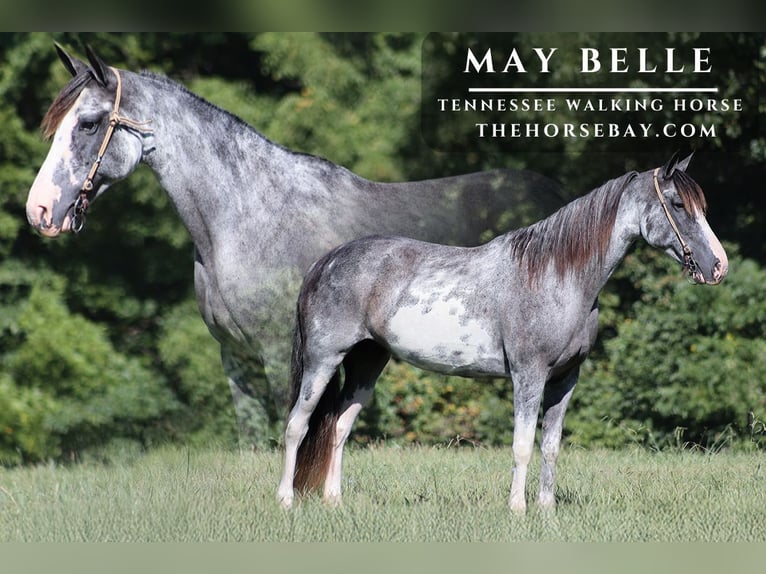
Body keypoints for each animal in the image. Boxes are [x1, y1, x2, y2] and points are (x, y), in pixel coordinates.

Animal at [276, 152, 728, 512]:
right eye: (677, 204)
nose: (718, 266)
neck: (555, 275)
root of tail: (328, 260)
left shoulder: (565, 379)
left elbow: (550, 446)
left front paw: (546, 510)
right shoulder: (528, 376)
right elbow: (522, 445)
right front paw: (517, 509)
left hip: (368, 362)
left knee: (338, 427)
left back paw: (334, 500)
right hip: (323, 361)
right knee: (298, 424)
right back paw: (285, 499)